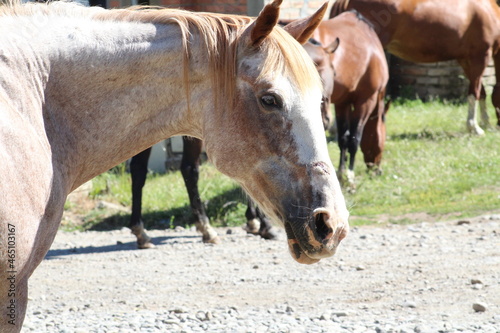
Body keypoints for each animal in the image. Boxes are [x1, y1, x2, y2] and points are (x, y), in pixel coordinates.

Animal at [129, 136, 278, 249]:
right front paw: (264, 224)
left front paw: (252, 219)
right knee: (189, 168)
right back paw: (206, 229)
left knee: (138, 169)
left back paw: (141, 233)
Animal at [300, 11, 390, 184]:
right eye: (383, 136)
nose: (377, 169)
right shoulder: (366, 100)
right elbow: (354, 138)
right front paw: (349, 175)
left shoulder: (343, 103)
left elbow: (343, 138)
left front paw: (341, 172)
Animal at [330, 0, 500, 135]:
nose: (499, 124)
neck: (488, 11)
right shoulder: (480, 57)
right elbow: (474, 93)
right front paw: (474, 127)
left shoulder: (465, 60)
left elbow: (482, 92)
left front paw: (486, 123)